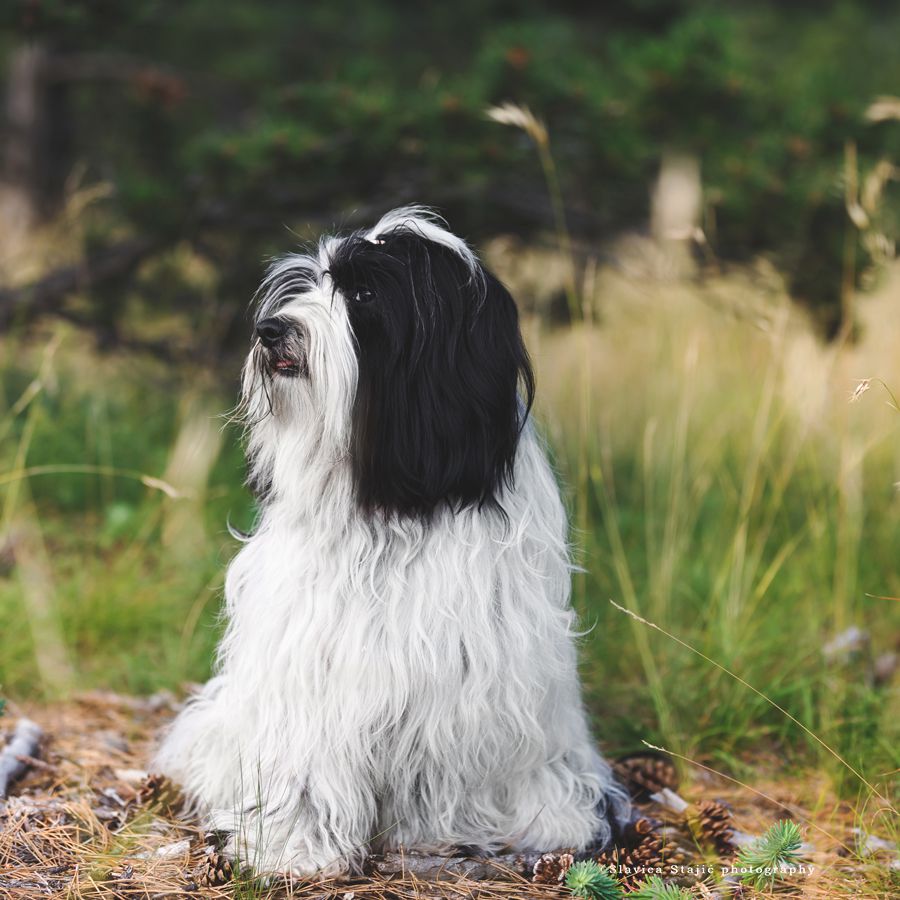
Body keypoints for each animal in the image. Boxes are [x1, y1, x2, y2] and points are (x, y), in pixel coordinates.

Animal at [155, 209, 628, 872]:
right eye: (310, 283)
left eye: (365, 295)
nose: (268, 330)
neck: (395, 497)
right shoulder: (312, 661)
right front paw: (292, 843)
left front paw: (537, 819)